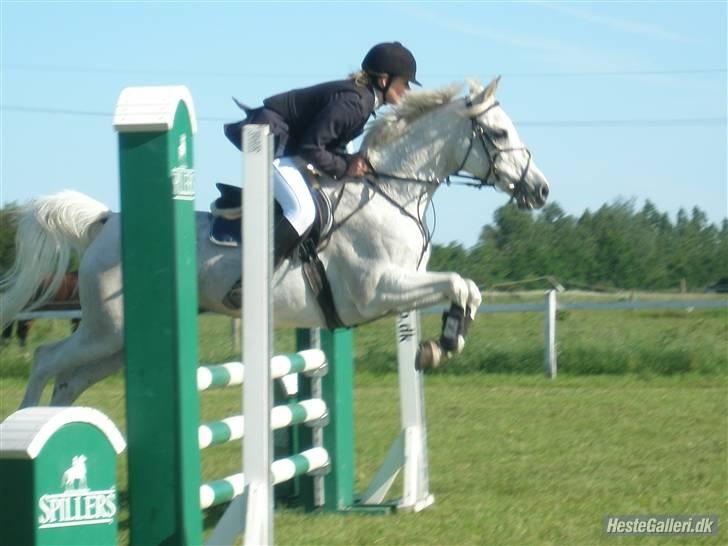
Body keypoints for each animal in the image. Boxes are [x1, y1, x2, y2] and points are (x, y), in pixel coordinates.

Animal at [0, 77, 544, 408]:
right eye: (498, 133)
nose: (540, 190)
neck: (390, 192)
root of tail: (106, 222)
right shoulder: (377, 291)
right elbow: (459, 283)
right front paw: (442, 344)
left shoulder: (403, 283)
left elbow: (466, 288)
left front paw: (441, 344)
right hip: (106, 330)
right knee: (48, 360)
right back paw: (28, 430)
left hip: (119, 342)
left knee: (69, 379)